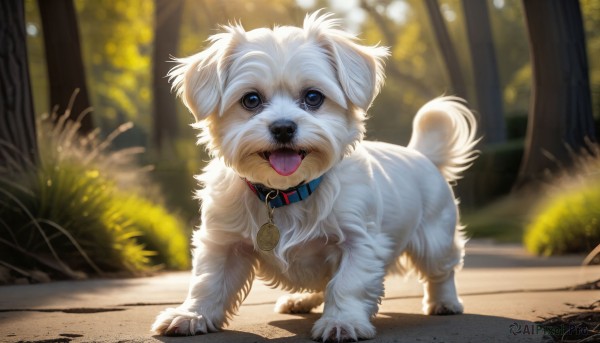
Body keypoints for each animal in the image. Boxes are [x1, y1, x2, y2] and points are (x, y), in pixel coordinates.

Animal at [154, 11, 478, 343]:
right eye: (251, 100)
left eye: (313, 97)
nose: (283, 127)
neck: (285, 192)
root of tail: (421, 155)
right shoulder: (224, 243)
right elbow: (208, 282)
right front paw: (192, 315)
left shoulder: (359, 243)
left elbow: (347, 284)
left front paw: (342, 322)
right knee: (320, 284)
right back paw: (301, 300)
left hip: (435, 240)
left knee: (442, 272)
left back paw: (445, 302)